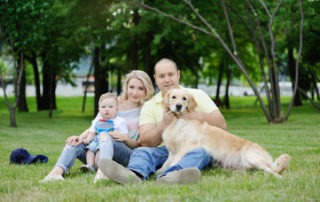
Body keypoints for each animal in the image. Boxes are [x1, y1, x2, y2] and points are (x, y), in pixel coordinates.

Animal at [159, 89, 292, 178]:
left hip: (251, 157)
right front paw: (160, 170)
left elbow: (175, 160)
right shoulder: (171, 151)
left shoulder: (188, 145)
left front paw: (169, 171)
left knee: (272, 170)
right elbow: (166, 163)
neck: (177, 122)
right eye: (174, 97)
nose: (178, 106)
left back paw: (278, 177)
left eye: (184, 98)